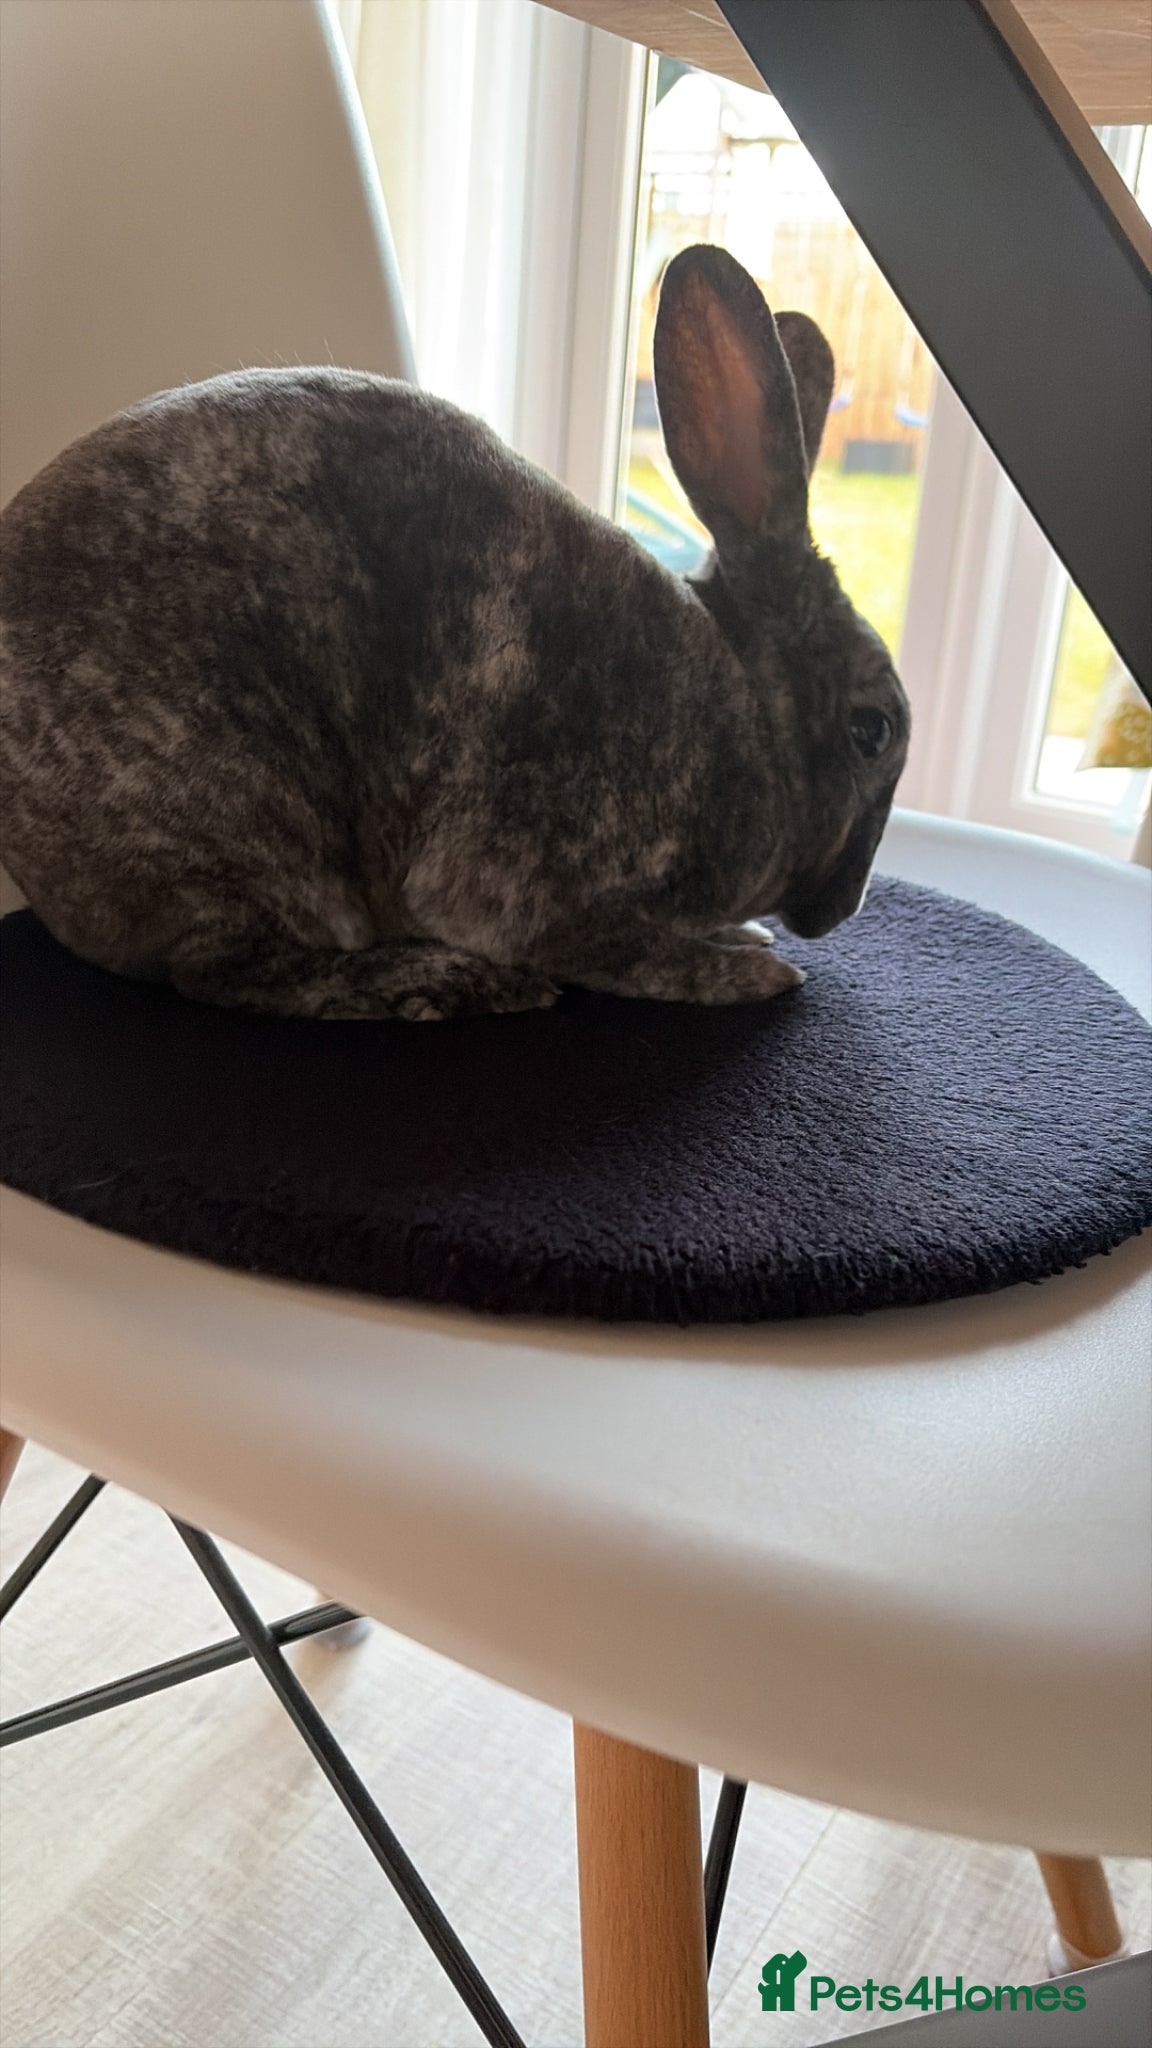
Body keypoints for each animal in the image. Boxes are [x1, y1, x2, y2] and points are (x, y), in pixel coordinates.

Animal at [0, 244, 910, 1022]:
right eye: (871, 731)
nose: (839, 914)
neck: (754, 720)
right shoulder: (534, 887)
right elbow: (622, 954)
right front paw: (748, 969)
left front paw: (743, 935)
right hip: (237, 814)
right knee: (232, 972)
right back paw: (450, 984)